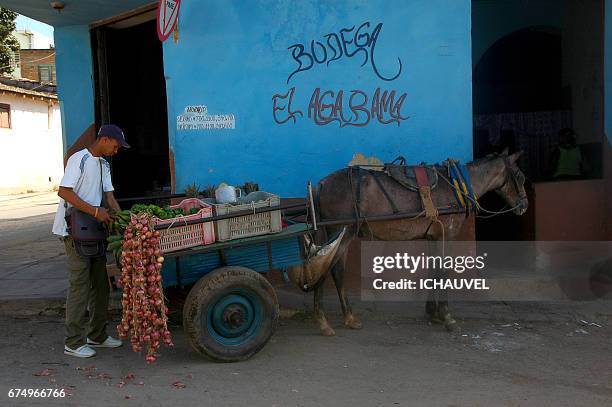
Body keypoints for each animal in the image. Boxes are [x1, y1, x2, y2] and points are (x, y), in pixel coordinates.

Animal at [306, 151, 532, 336]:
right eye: (520, 177)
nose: (524, 206)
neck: (457, 186)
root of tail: (320, 185)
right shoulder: (447, 234)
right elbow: (444, 273)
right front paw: (447, 317)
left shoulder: (433, 236)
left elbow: (433, 271)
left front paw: (432, 312)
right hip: (342, 231)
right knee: (329, 268)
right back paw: (323, 321)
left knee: (334, 269)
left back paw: (348, 317)